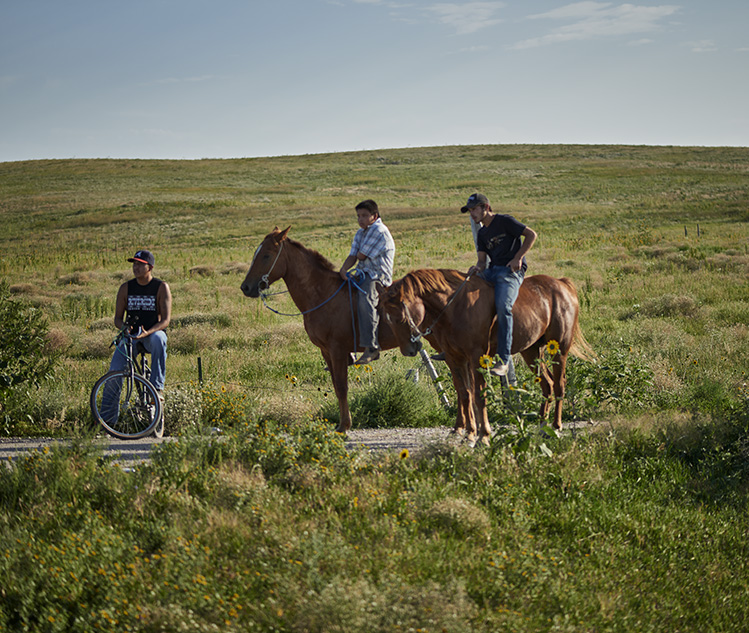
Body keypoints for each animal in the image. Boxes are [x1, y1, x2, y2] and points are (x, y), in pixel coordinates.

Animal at [240, 227, 398, 434]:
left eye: (266, 255)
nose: (245, 287)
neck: (323, 294)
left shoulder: (337, 349)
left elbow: (342, 386)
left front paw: (344, 425)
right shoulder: (326, 351)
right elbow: (336, 386)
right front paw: (342, 424)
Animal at [382, 268, 592, 444]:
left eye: (400, 317)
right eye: (386, 318)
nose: (409, 349)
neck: (454, 307)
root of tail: (562, 284)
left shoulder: (476, 358)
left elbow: (478, 395)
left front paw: (482, 435)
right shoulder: (455, 358)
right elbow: (464, 393)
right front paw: (467, 432)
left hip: (559, 349)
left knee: (559, 383)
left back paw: (556, 427)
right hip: (531, 351)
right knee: (547, 384)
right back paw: (542, 427)